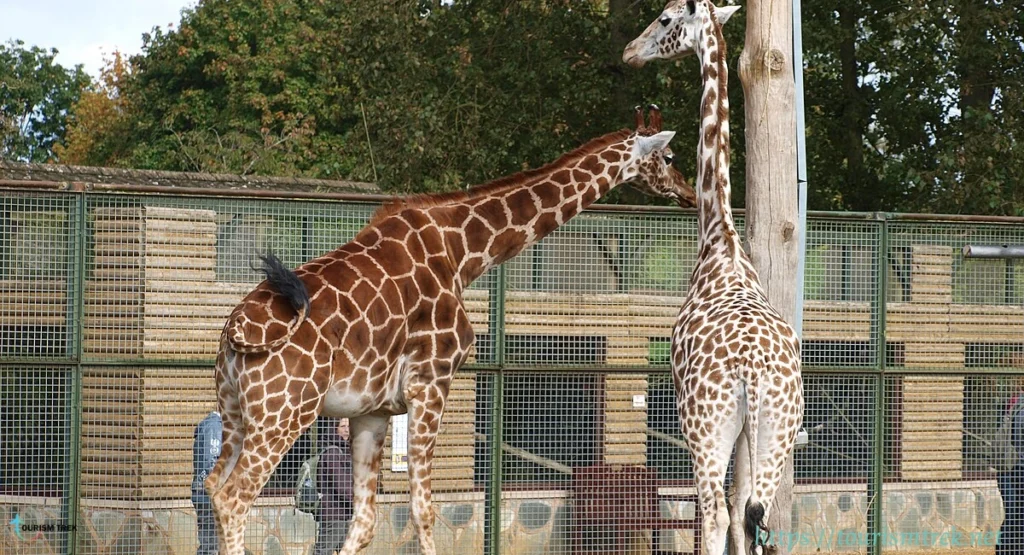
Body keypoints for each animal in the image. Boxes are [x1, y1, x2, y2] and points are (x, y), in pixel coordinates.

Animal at [205, 110, 688, 555]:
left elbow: (364, 521)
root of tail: (234, 329)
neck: (464, 253)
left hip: (235, 412)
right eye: (668, 156)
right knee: (234, 498)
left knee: (212, 486)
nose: (685, 192)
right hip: (284, 413)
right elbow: (423, 508)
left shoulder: (372, 410)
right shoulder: (431, 381)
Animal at [618, 2, 802, 552]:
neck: (720, 240)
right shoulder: (746, 432)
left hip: (703, 424)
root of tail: (753, 369)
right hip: (777, 427)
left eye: (663, 19)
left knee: (716, 515)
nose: (629, 52)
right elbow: (747, 515)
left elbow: (722, 518)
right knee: (757, 514)